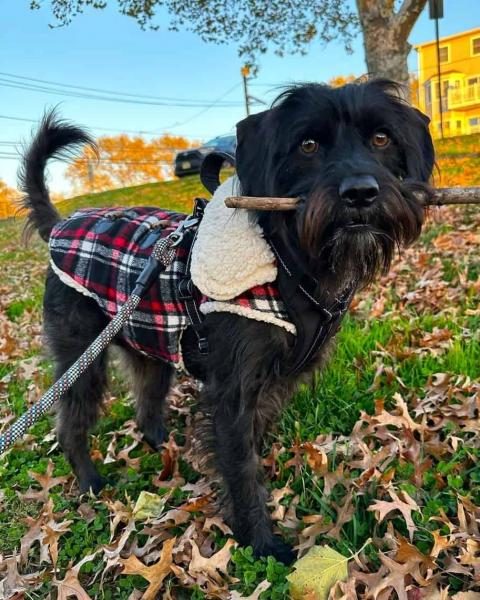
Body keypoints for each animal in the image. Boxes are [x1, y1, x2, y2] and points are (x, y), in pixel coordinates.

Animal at [19, 79, 436, 564]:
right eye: (308, 145)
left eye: (382, 138)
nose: (360, 192)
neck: (288, 260)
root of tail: (61, 224)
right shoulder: (233, 390)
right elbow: (240, 464)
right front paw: (261, 542)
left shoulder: (272, 383)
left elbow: (253, 440)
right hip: (82, 360)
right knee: (71, 422)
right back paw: (89, 480)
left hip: (151, 348)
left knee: (146, 405)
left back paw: (163, 445)